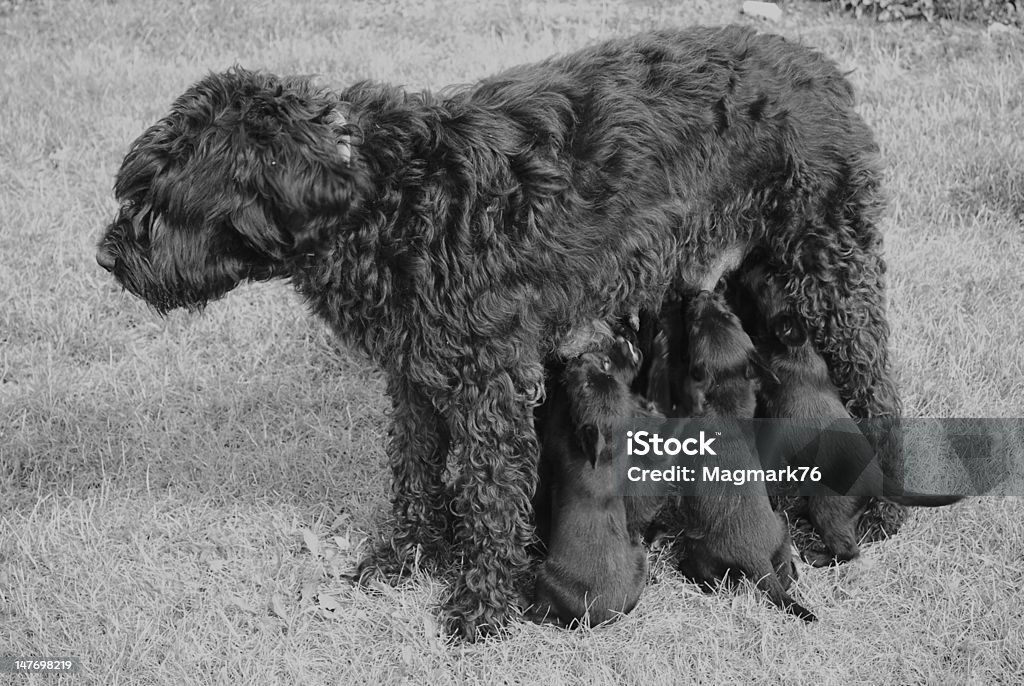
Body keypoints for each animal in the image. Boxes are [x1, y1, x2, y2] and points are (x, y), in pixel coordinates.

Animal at [532, 337, 659, 630]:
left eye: (586, 386)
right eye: (604, 366)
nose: (580, 358)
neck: (607, 453)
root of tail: (602, 618)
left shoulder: (558, 439)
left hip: (545, 578)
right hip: (639, 558)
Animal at [671, 290, 815, 622]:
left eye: (694, 327)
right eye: (730, 316)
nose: (704, 293)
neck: (725, 392)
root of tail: (756, 558)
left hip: (698, 545)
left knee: (710, 579)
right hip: (782, 527)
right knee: (784, 573)